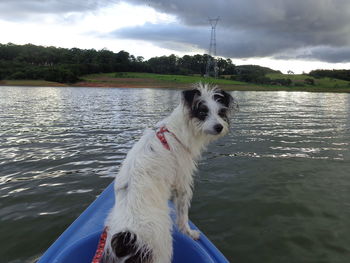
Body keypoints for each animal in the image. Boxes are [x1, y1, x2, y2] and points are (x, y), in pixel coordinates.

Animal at [101, 83, 237, 263]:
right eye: (203, 113)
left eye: (220, 112)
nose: (219, 127)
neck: (175, 132)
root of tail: (125, 237)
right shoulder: (183, 182)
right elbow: (183, 214)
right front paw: (189, 233)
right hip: (161, 251)